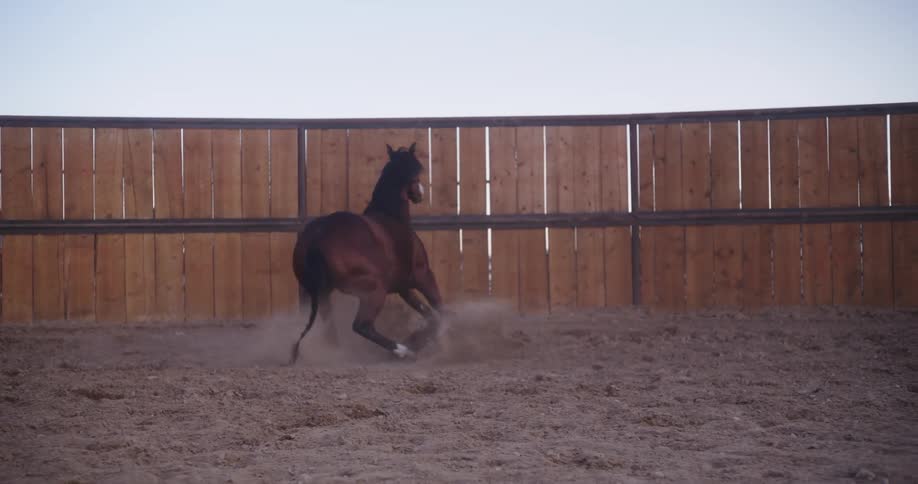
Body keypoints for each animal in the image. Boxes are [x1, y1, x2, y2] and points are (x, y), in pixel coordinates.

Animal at [288, 142, 445, 364]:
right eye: (417, 172)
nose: (419, 193)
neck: (391, 217)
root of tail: (317, 238)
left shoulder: (403, 287)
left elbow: (429, 314)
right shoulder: (422, 276)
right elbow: (440, 310)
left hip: (318, 294)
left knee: (330, 329)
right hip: (374, 290)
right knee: (362, 326)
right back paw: (403, 350)